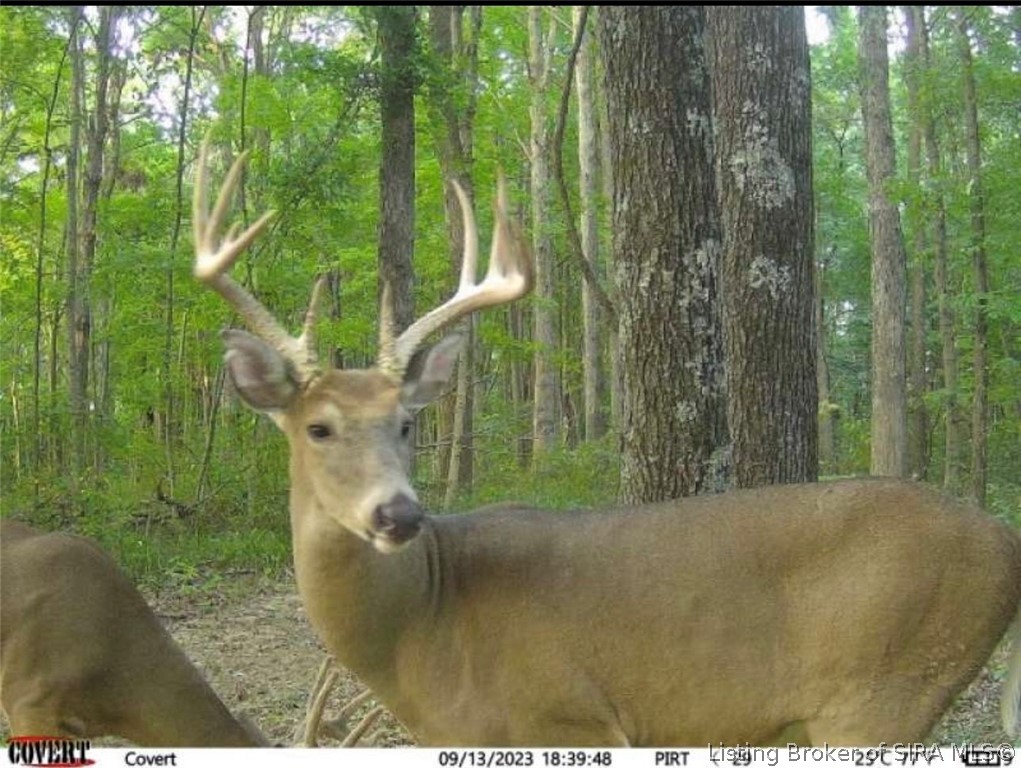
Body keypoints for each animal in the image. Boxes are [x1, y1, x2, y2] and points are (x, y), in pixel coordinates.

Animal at [193, 141, 1021, 746]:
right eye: (318, 427)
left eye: (405, 422)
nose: (398, 514)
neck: (421, 628)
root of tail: (1003, 538)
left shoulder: (566, 715)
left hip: (882, 692)